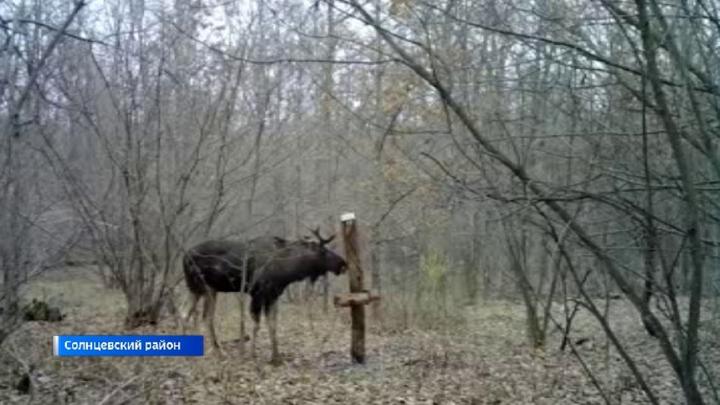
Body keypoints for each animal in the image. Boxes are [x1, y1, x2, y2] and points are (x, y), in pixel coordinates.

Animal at [181, 227, 348, 362]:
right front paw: (252, 354)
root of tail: (185, 256)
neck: (288, 269)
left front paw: (276, 356)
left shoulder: (273, 295)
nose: (343, 264)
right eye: (324, 252)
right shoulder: (258, 293)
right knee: (197, 316)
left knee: (196, 316)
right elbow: (257, 324)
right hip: (202, 287)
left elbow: (272, 324)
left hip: (206, 290)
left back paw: (212, 352)